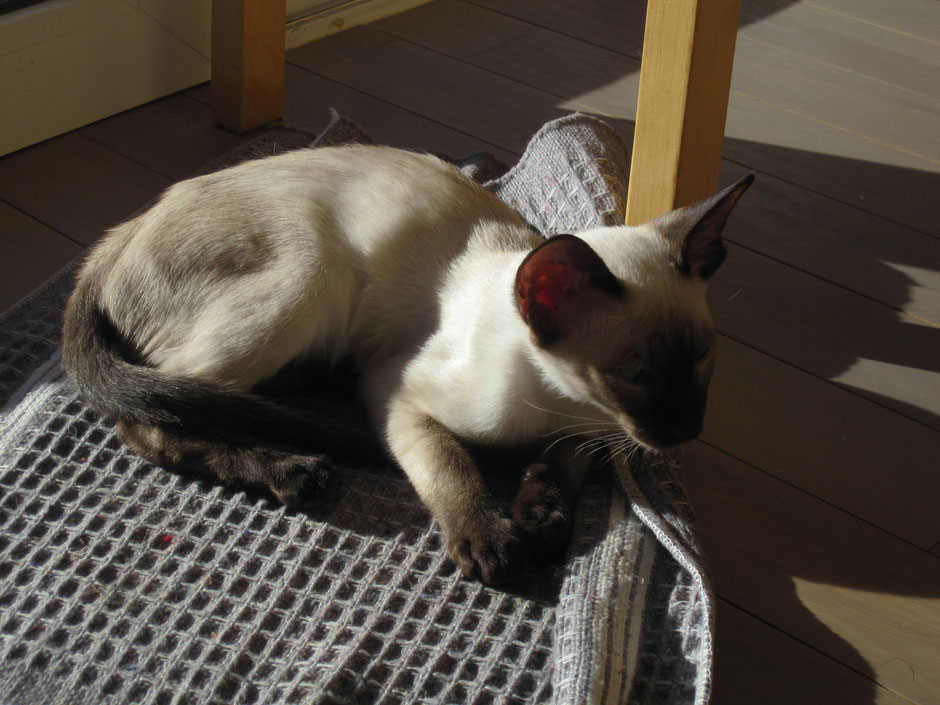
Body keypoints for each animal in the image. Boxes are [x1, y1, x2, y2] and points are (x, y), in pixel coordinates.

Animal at [62, 144, 752, 584]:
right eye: (635, 375)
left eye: (703, 358)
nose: (686, 429)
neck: (554, 401)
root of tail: (122, 231)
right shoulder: (397, 394)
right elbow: (451, 469)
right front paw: (492, 541)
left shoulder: (590, 430)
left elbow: (560, 465)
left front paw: (542, 517)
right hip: (311, 274)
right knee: (152, 416)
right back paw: (290, 469)